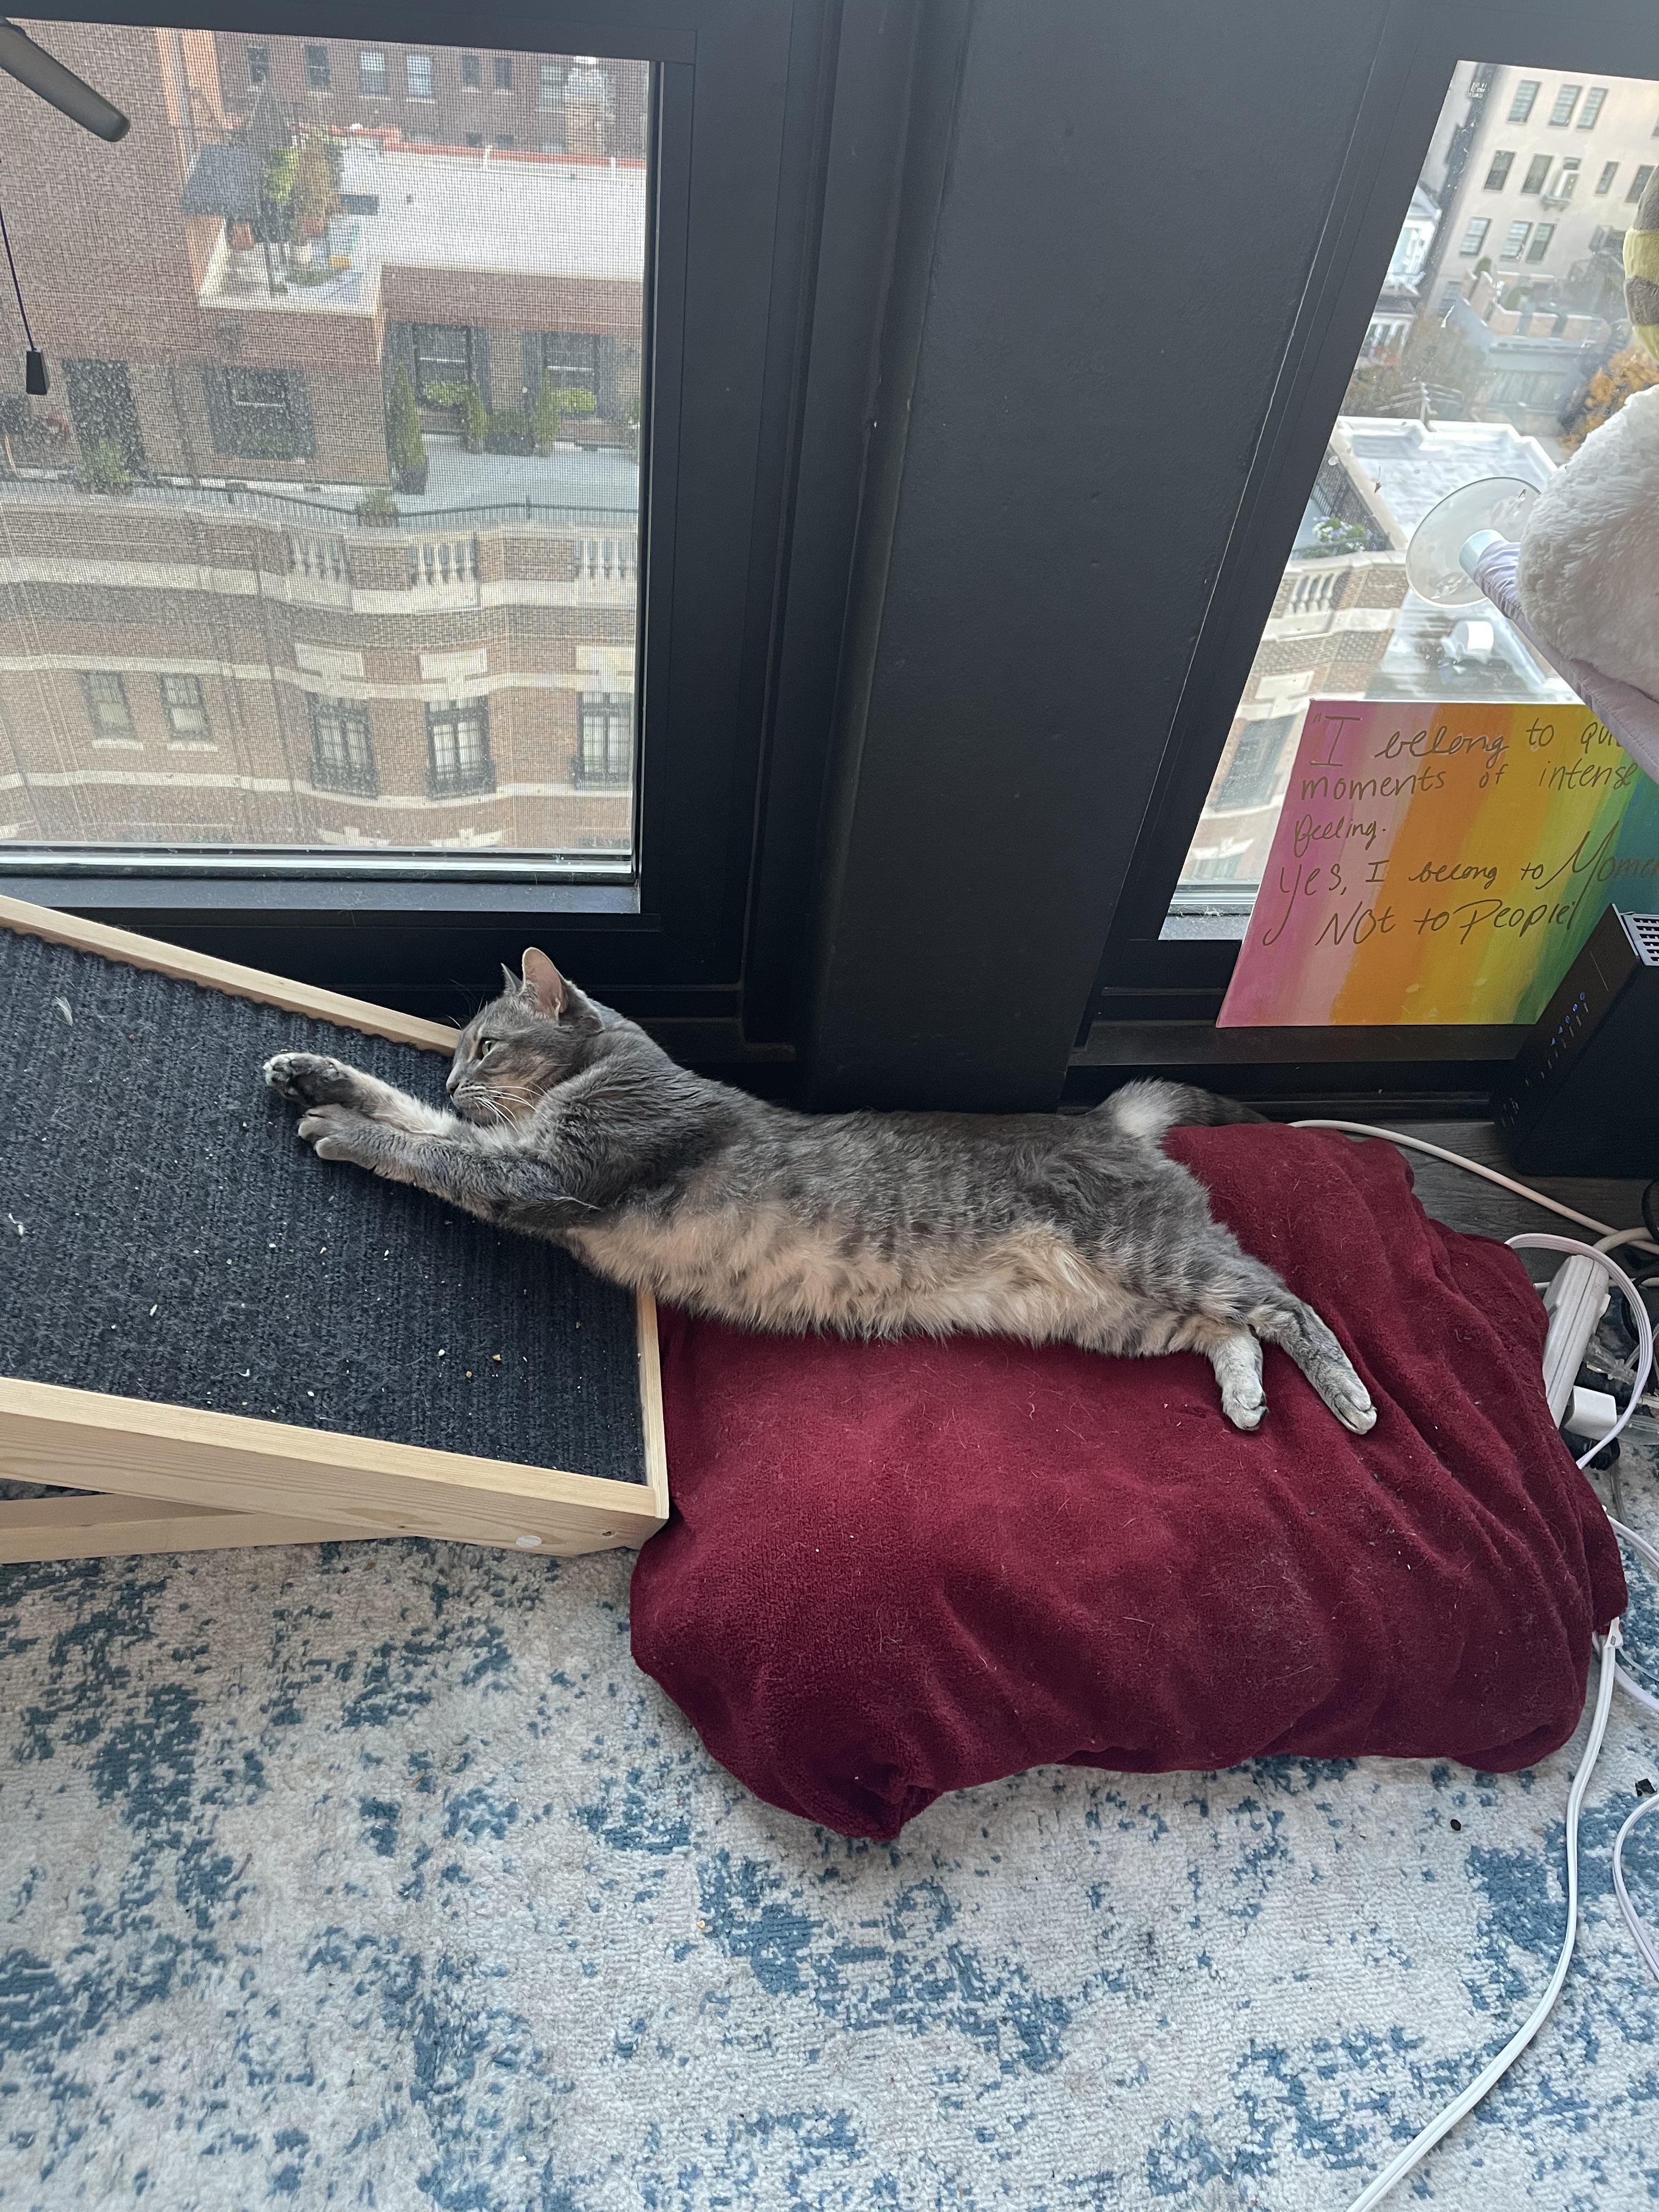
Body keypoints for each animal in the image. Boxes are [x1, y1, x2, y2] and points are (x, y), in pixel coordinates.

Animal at [264, 949, 1375, 1435]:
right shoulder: (516, 1152)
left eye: (486, 1044)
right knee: (1226, 1330)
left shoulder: (545, 1175)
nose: (459, 1078)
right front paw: (314, 1072)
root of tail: (1108, 1119)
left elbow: (426, 1151)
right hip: (1115, 1313)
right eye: (455, 1053)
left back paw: (1351, 1398)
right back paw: (1244, 1399)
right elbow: (416, 1119)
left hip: (1150, 1257)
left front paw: (341, 1129)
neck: (605, 1072)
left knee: (1284, 1300)